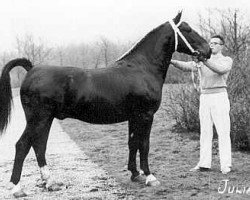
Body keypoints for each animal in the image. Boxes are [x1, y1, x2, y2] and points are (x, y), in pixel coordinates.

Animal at [0, 12, 211, 197]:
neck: (142, 68)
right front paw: (150, 176)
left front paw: (135, 174)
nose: (208, 50)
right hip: (39, 119)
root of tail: (32, 69)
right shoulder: (146, 115)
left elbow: (132, 143)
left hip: (45, 119)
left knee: (39, 145)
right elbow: (144, 144)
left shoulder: (134, 117)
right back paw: (17, 188)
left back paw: (50, 182)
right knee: (23, 145)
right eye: (187, 29)